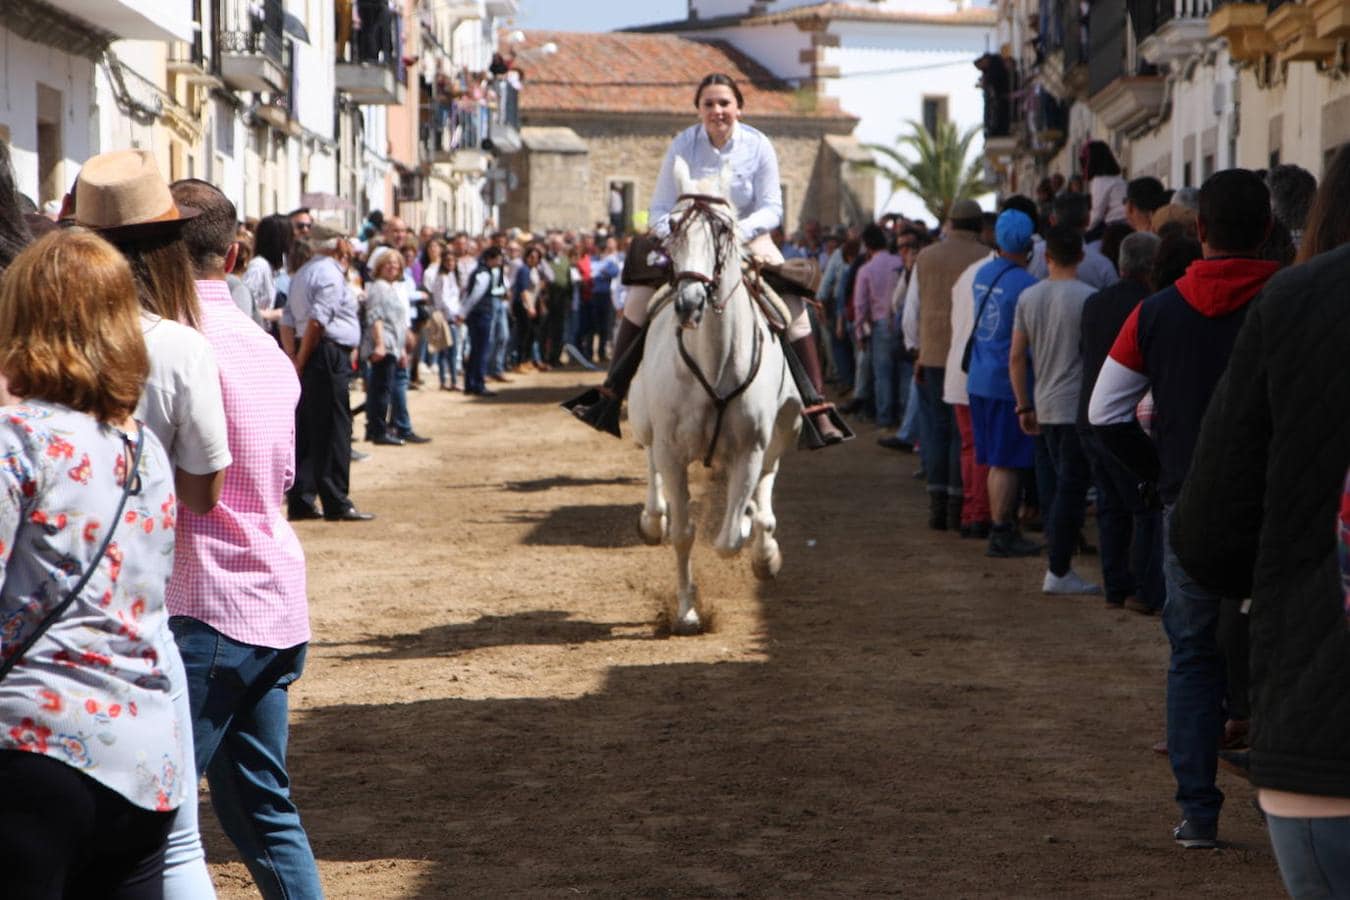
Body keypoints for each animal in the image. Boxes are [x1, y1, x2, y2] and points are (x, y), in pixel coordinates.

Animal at [629, 163, 804, 639]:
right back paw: (652, 519)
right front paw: (687, 612)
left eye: (723, 228)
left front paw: (756, 539)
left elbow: (730, 538)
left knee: (767, 484)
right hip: (642, 420)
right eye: (673, 225)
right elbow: (683, 532)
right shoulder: (672, 450)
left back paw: (763, 543)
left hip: (787, 428)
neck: (715, 360)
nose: (690, 303)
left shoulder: (751, 448)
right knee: (648, 461)